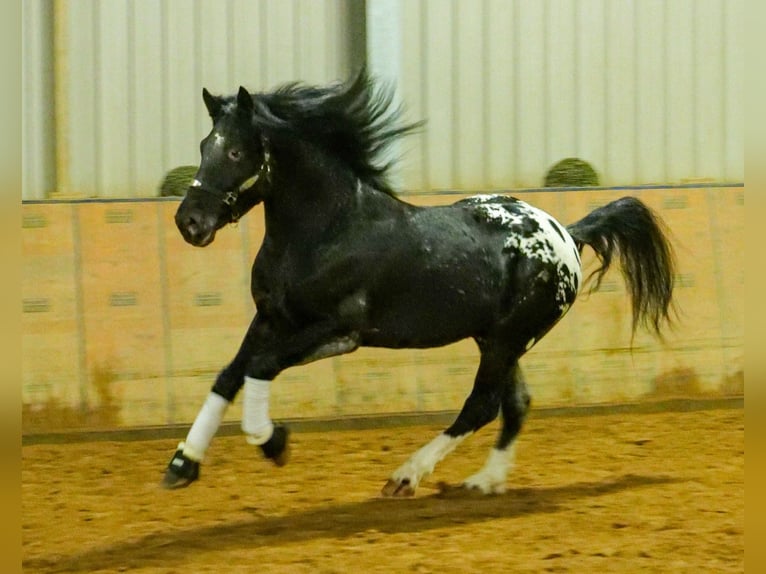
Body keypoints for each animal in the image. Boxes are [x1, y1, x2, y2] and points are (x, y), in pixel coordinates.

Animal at [164, 70, 680, 498]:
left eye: (235, 151)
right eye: (204, 146)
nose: (189, 223)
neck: (327, 231)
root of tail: (568, 235)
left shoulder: (340, 331)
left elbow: (261, 367)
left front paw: (274, 442)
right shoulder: (271, 318)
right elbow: (228, 375)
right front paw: (182, 465)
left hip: (510, 338)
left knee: (481, 406)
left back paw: (406, 476)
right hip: (497, 339)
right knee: (515, 403)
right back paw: (485, 482)